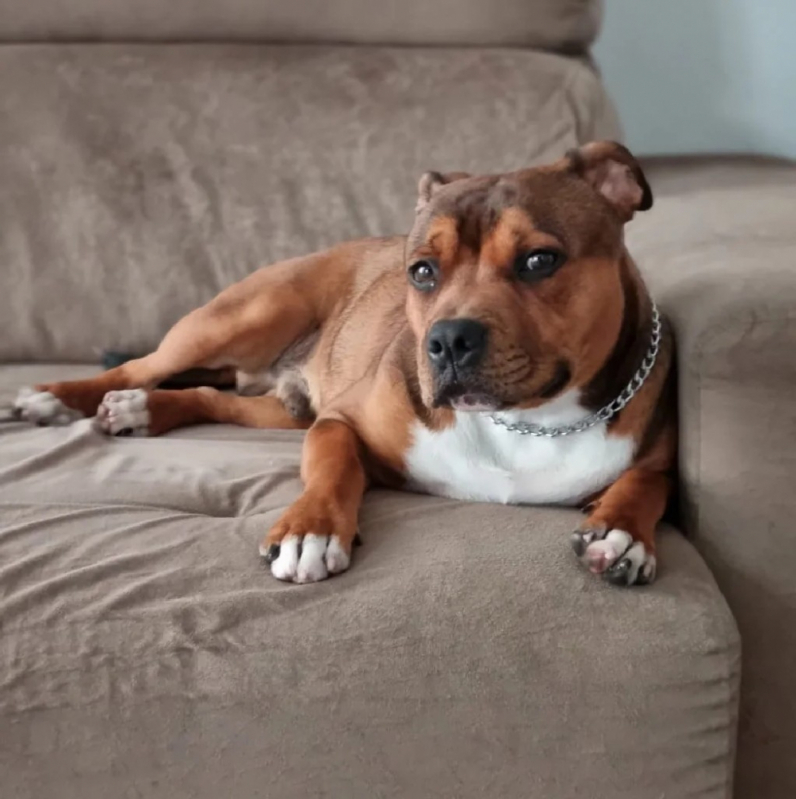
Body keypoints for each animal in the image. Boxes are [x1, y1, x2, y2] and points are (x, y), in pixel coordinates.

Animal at [12, 139, 672, 588]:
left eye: (539, 260)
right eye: (422, 271)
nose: (447, 340)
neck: (528, 423)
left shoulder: (653, 450)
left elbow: (647, 481)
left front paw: (621, 532)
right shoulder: (339, 423)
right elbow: (336, 468)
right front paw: (310, 529)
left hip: (285, 410)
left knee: (212, 398)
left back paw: (142, 411)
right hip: (245, 316)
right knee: (139, 366)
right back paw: (61, 396)